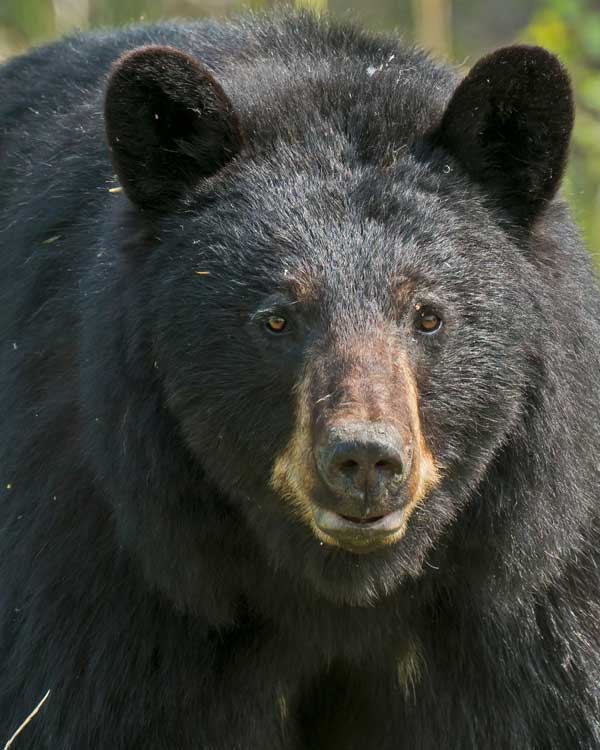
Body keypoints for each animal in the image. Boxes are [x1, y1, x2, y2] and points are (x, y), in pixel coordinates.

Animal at [1, 7, 600, 750]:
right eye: (277, 319)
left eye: (428, 316)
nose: (365, 459)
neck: (343, 592)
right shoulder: (107, 565)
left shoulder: (532, 602)